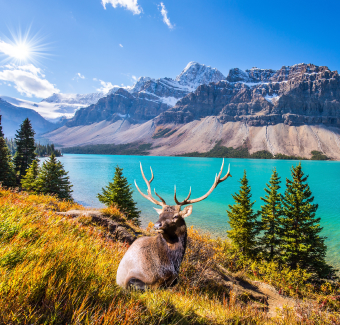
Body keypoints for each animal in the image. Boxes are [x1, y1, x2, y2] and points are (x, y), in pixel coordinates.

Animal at [115, 159, 231, 288]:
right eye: (160, 215)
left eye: (175, 216)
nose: (157, 225)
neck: (172, 264)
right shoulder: (133, 278)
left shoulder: (174, 279)